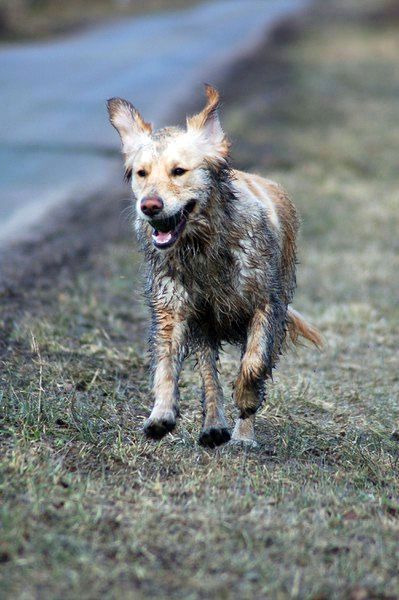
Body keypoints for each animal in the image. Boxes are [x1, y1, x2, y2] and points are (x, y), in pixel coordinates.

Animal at [107, 86, 322, 448]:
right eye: (142, 173)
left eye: (179, 171)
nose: (149, 206)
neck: (203, 247)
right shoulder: (173, 310)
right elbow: (166, 365)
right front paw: (160, 415)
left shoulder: (267, 305)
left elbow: (253, 364)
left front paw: (246, 401)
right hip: (203, 326)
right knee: (209, 375)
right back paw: (213, 426)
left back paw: (242, 435)